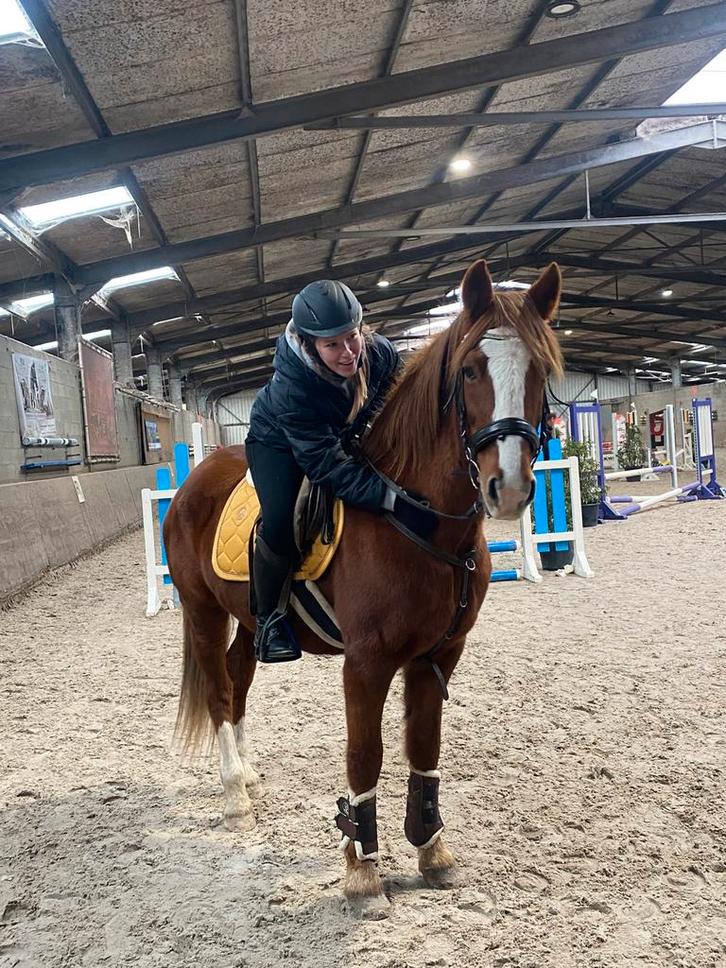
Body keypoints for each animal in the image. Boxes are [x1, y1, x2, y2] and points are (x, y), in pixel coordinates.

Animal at [163, 257, 563, 915]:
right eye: (471, 369)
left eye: (540, 368)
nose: (507, 488)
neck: (416, 521)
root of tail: (196, 477)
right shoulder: (367, 663)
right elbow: (364, 755)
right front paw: (363, 872)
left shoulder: (439, 656)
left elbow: (424, 749)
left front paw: (432, 850)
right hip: (201, 612)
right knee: (220, 692)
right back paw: (234, 795)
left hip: (249, 619)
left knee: (239, 679)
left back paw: (248, 773)